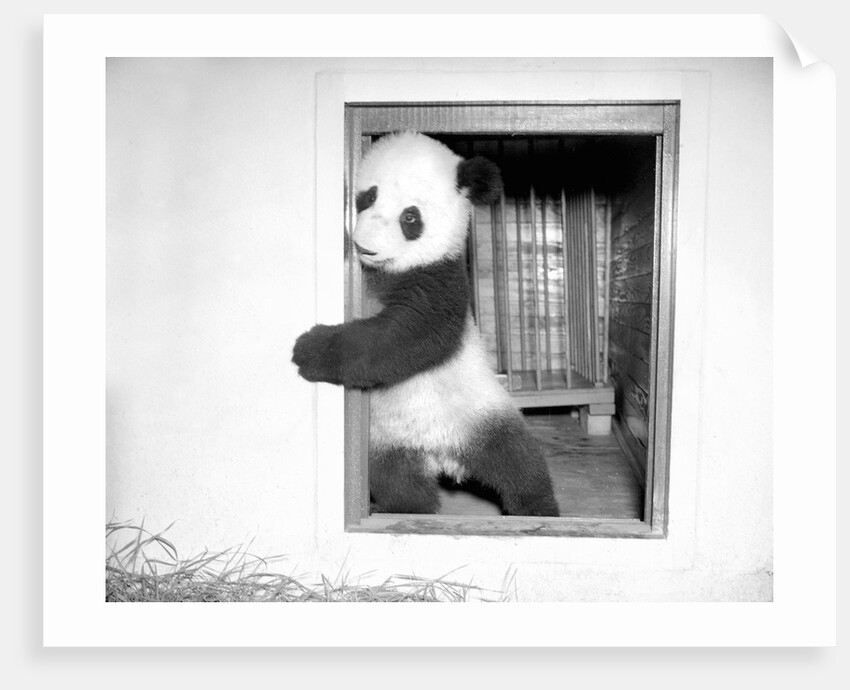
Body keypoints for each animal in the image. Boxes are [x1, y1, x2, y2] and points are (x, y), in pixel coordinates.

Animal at [292, 131, 560, 517]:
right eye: (368, 196)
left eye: (410, 217)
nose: (367, 246)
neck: (387, 269)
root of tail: (444, 455)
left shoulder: (440, 279)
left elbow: (408, 337)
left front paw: (310, 349)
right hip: (388, 444)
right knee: (401, 484)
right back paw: (406, 508)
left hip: (485, 414)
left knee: (520, 463)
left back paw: (539, 510)